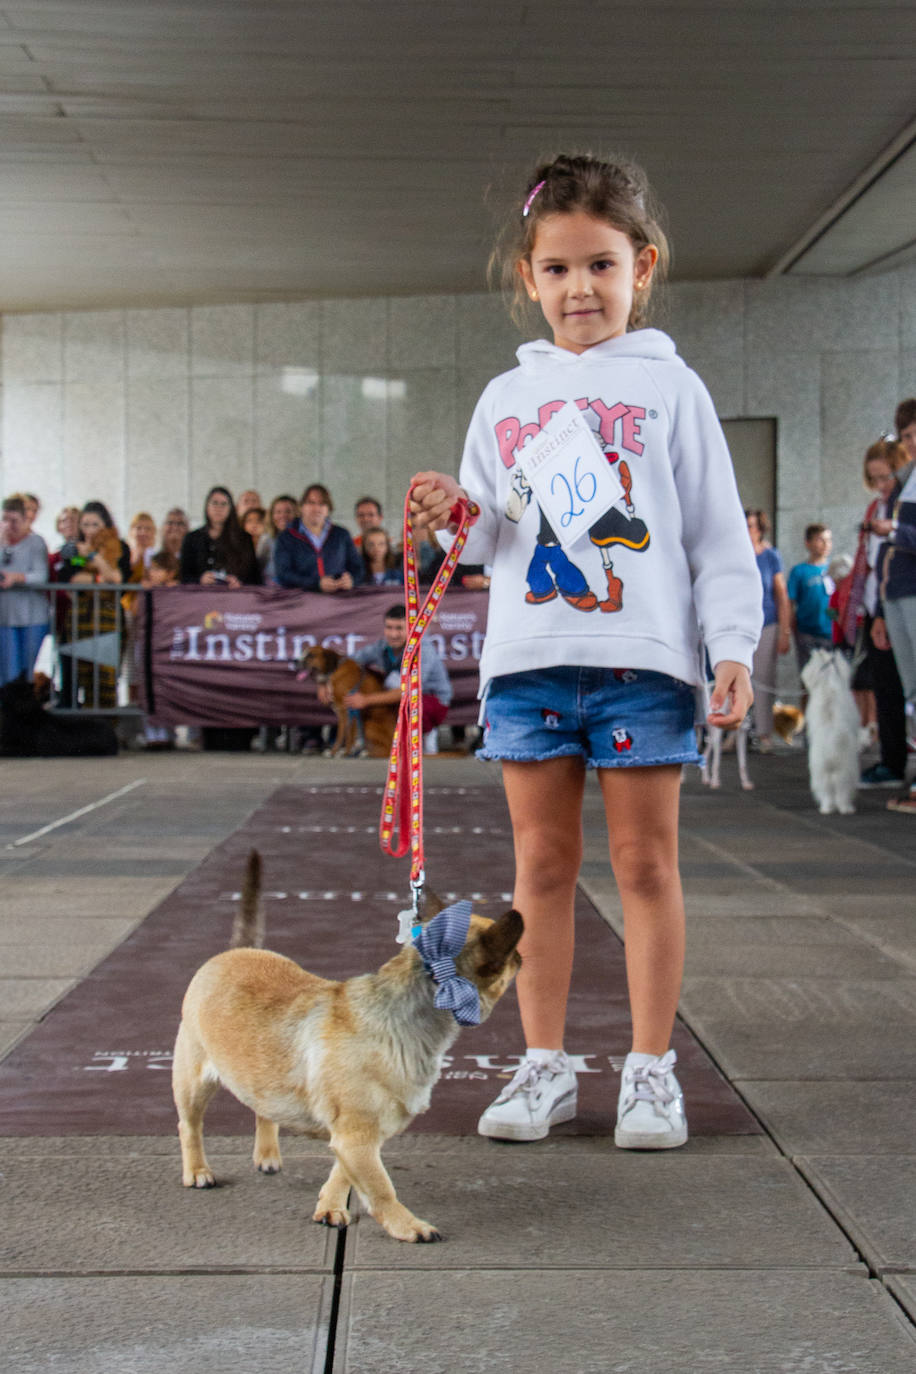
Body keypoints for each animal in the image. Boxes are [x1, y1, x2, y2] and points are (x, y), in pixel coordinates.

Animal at [173, 851, 527, 1242]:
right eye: (511, 958)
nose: (523, 957)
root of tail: (239, 950)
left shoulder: (359, 1137)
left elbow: (343, 1175)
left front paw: (329, 1207)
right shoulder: (356, 1137)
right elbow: (380, 1187)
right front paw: (408, 1226)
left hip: (260, 1078)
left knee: (263, 1110)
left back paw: (266, 1154)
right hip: (193, 1083)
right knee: (190, 1126)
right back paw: (197, 1171)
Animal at [796, 645, 862, 807]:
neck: (827, 679)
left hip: (822, 769)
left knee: (829, 789)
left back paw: (828, 807)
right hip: (843, 769)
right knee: (839, 790)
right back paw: (844, 808)